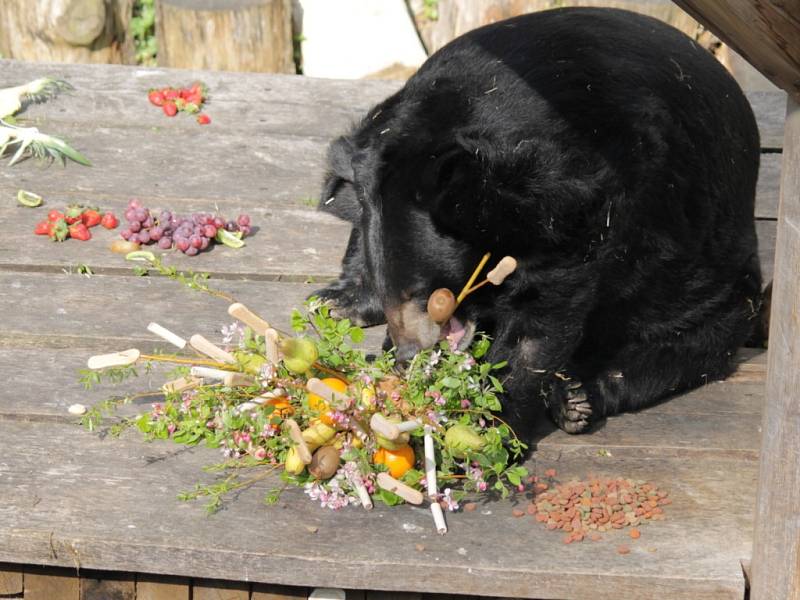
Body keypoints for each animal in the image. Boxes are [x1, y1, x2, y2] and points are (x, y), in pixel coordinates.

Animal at [312, 7, 764, 438]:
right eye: (393, 292)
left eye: (425, 293)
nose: (411, 353)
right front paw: (347, 302)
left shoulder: (581, 206)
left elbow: (543, 315)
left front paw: (490, 424)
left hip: (705, 263)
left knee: (703, 331)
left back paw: (579, 397)